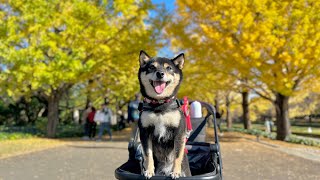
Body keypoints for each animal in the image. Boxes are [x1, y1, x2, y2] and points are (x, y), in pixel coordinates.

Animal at [137, 50, 190, 179]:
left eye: (169, 68)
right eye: (151, 67)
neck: (159, 105)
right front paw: (149, 170)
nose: (160, 73)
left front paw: (176, 172)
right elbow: (148, 154)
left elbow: (177, 155)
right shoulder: (145, 133)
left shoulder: (179, 133)